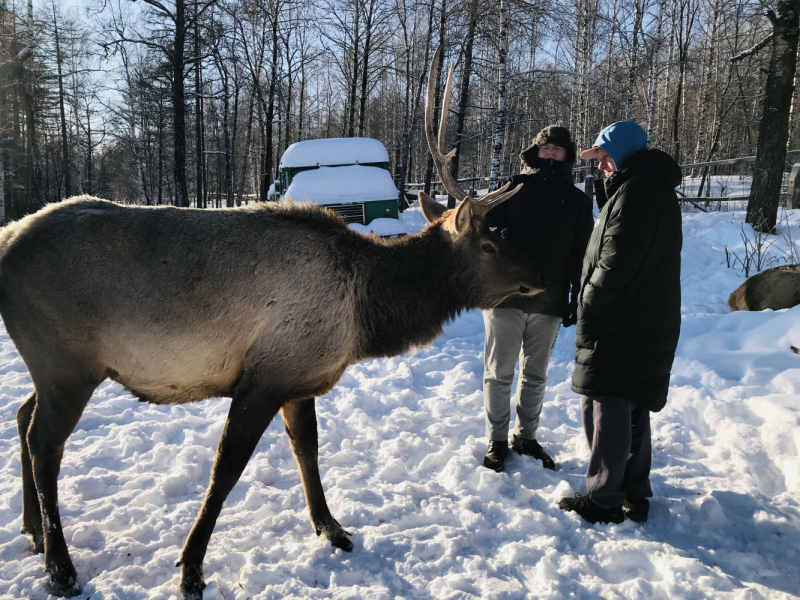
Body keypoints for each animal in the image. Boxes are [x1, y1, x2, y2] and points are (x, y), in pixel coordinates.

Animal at [0, 47, 540, 600]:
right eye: (490, 243)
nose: (541, 276)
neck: (364, 318)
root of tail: (7, 238)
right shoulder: (263, 378)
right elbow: (226, 471)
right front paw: (191, 567)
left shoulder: (300, 379)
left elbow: (308, 450)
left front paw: (331, 527)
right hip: (66, 364)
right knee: (44, 443)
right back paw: (61, 567)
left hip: (55, 367)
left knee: (21, 417)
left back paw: (32, 531)